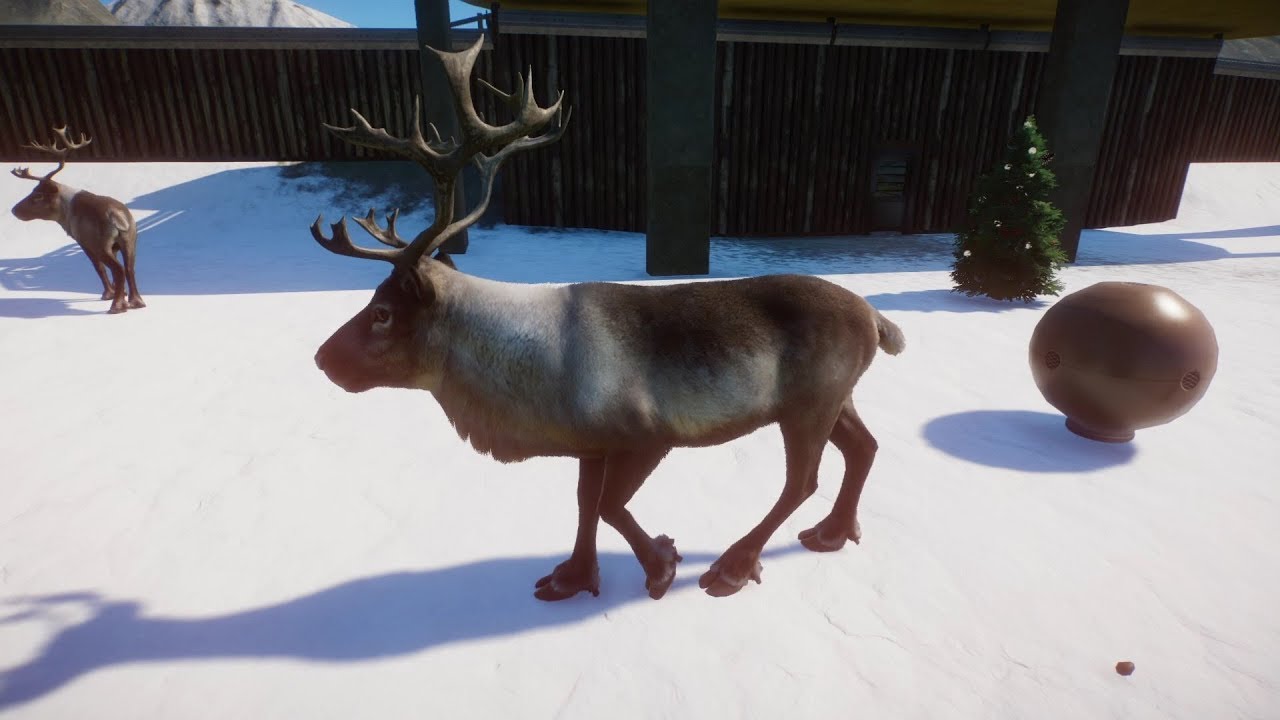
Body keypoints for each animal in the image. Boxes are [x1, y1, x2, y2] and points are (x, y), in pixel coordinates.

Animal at [10, 127, 145, 314]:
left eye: (37, 195)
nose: (14, 210)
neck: (65, 213)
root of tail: (118, 217)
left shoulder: (83, 241)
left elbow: (98, 268)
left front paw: (108, 294)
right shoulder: (115, 246)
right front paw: (121, 293)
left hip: (102, 245)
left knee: (118, 269)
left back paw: (117, 306)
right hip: (130, 239)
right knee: (130, 268)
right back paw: (136, 302)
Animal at [310, 37, 906, 602]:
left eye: (383, 312)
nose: (320, 358)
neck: (523, 373)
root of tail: (875, 317)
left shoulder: (647, 437)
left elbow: (609, 507)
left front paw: (662, 565)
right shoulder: (590, 442)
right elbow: (584, 503)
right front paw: (573, 578)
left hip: (808, 403)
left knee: (802, 480)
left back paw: (734, 566)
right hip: (835, 397)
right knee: (864, 447)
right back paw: (832, 533)